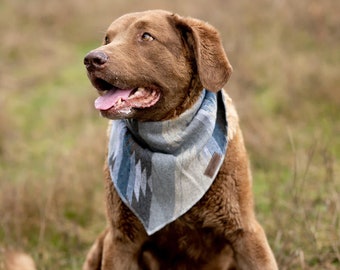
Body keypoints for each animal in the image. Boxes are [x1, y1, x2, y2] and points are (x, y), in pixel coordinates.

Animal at [83, 9, 278, 268]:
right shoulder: (121, 239)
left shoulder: (245, 231)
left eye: (146, 36)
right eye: (107, 39)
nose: (91, 59)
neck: (169, 138)